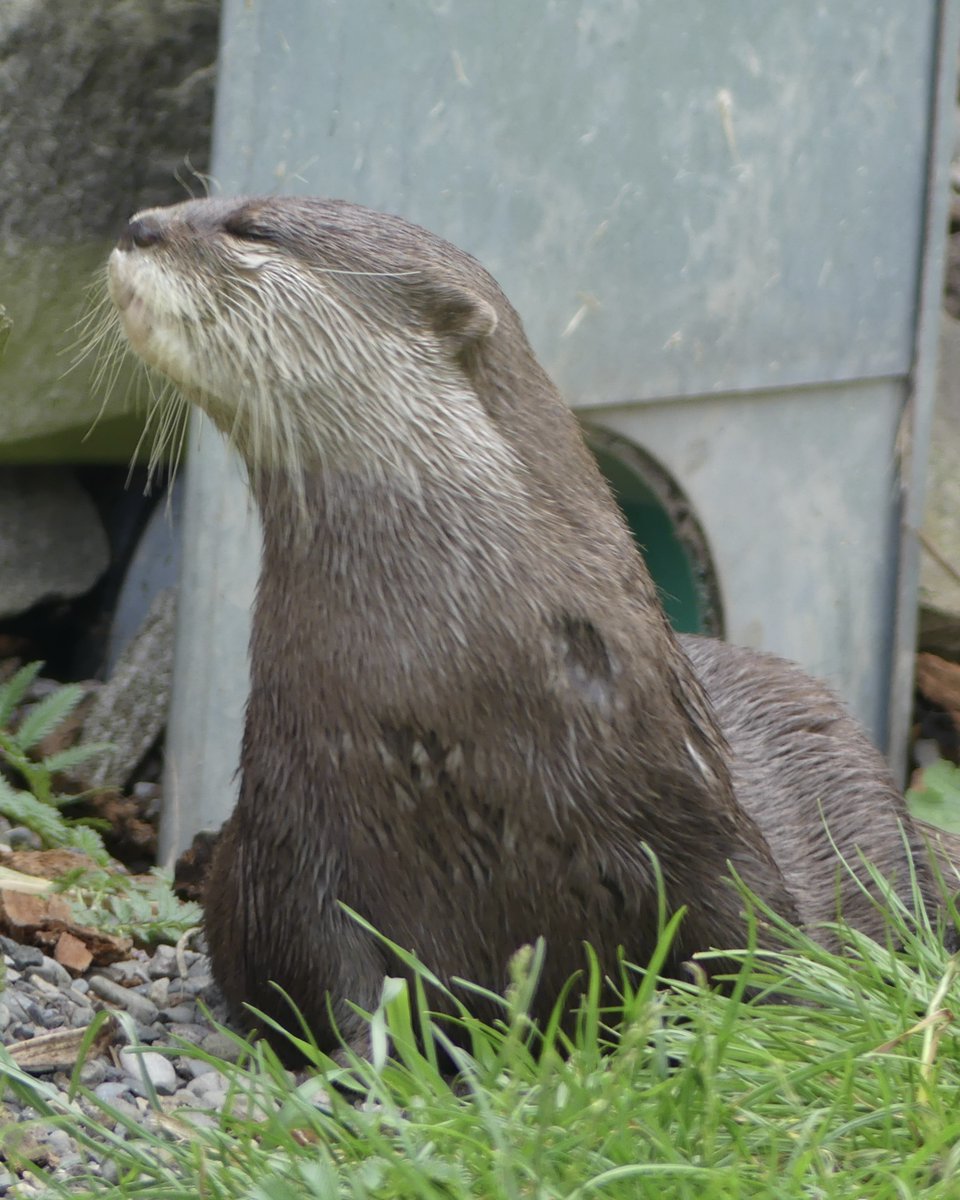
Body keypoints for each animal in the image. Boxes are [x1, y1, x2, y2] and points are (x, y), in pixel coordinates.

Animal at [108, 196, 940, 1051]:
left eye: (253, 228)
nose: (139, 225)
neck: (438, 695)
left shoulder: (699, 830)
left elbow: (759, 941)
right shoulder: (294, 832)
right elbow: (329, 980)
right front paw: (366, 1063)